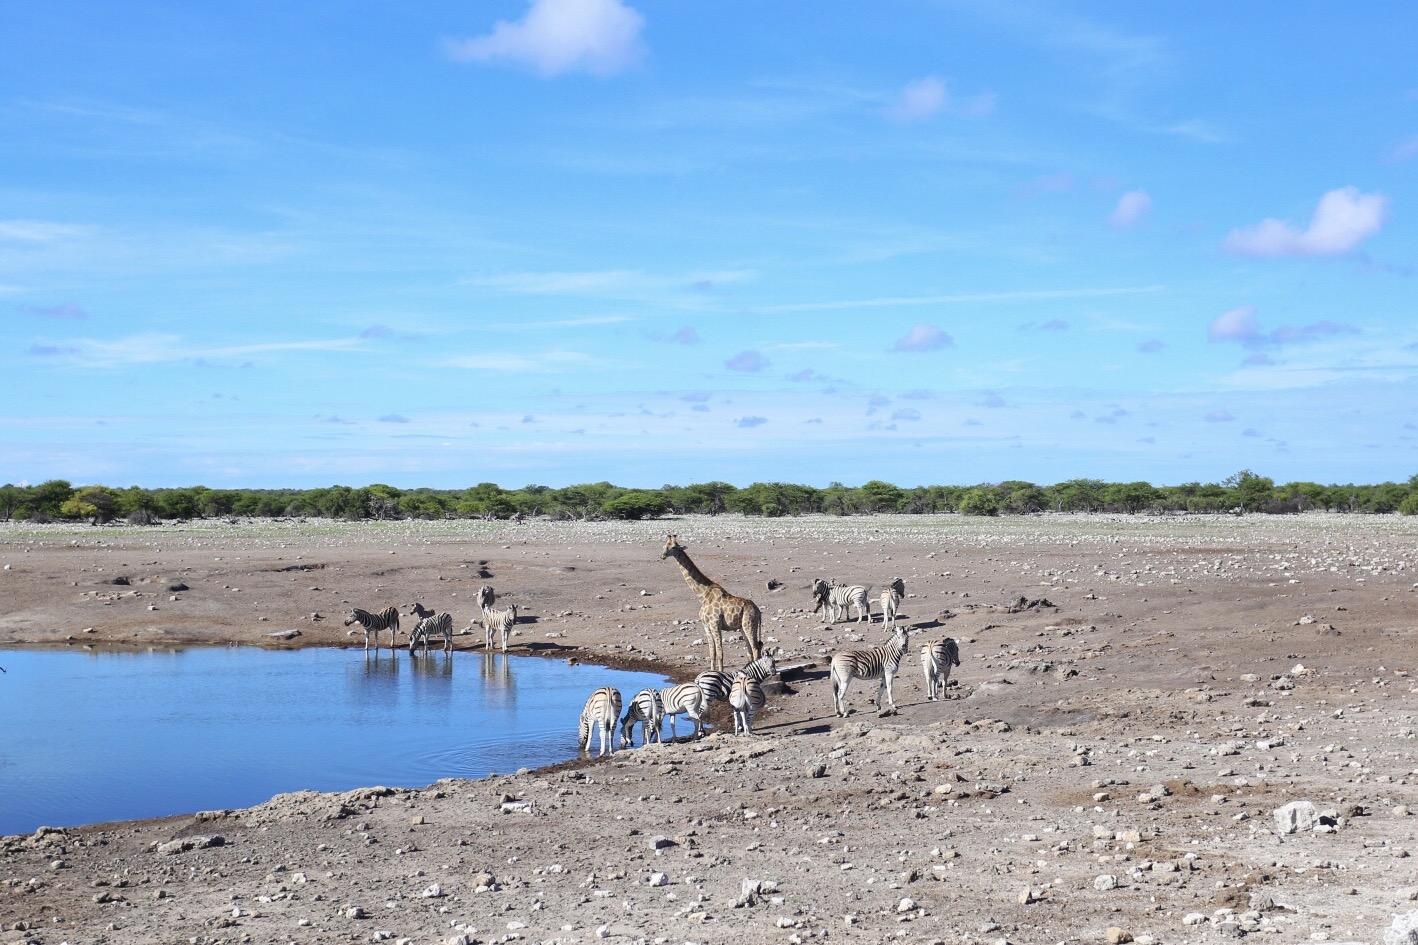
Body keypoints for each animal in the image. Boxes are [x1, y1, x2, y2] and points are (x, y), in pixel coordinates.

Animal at [663, 530, 765, 669]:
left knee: (755, 649)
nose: (663, 555)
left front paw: (720, 673)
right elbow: (712, 653)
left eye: (673, 547)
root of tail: (758, 611)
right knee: (750, 651)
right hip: (742, 628)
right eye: (664, 546)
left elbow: (720, 653)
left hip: (749, 624)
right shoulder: (706, 626)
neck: (702, 595)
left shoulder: (715, 624)